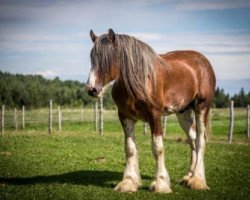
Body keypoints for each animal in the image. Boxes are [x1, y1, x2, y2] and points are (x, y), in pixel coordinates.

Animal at [85, 28, 215, 193]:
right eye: (92, 58)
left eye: (108, 58)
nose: (92, 89)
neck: (139, 81)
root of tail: (204, 61)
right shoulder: (125, 117)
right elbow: (130, 149)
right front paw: (129, 182)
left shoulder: (155, 116)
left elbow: (157, 148)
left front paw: (160, 183)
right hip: (183, 112)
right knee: (191, 138)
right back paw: (189, 176)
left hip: (201, 108)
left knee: (199, 141)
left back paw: (197, 180)